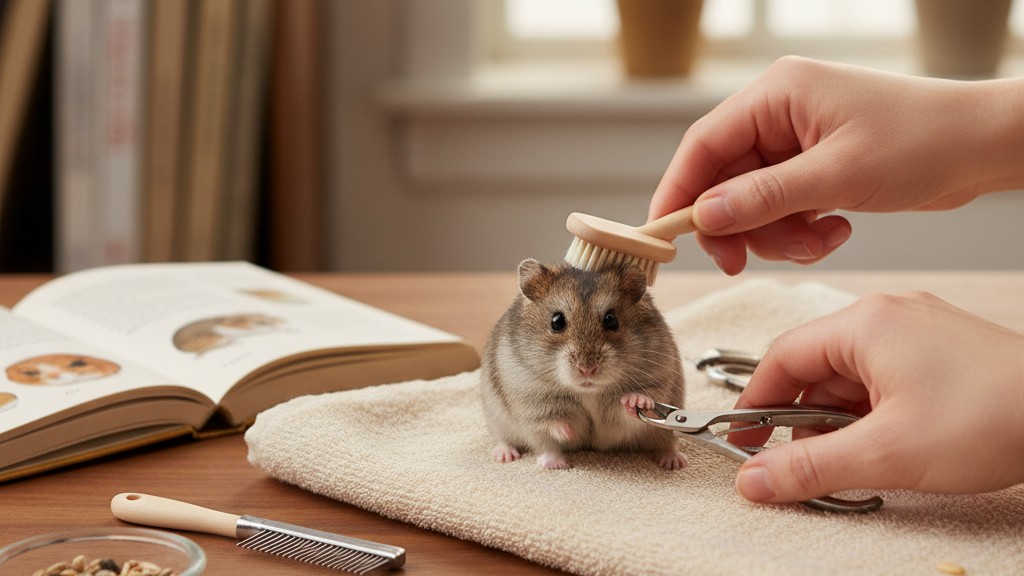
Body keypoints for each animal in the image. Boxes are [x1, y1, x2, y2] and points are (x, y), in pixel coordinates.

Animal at [480, 258, 687, 470]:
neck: (589, 392)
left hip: (665, 429)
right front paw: (569, 431)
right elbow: (551, 421)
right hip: (497, 419)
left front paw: (636, 401)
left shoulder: (656, 384)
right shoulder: (530, 398)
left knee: (665, 443)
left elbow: (631, 411)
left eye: (611, 320)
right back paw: (521, 458)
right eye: (557, 321)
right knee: (518, 442)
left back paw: (674, 462)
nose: (587, 369)